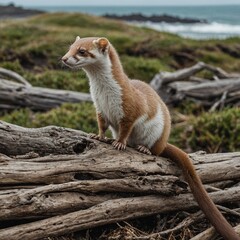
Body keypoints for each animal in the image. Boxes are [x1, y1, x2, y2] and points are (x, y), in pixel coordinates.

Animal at [62, 36, 240, 240]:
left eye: (82, 51)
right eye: (70, 47)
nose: (64, 59)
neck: (104, 95)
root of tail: (164, 142)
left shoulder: (130, 108)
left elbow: (126, 128)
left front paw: (119, 143)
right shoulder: (99, 109)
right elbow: (102, 126)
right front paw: (98, 136)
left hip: (159, 134)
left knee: (156, 150)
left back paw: (143, 148)